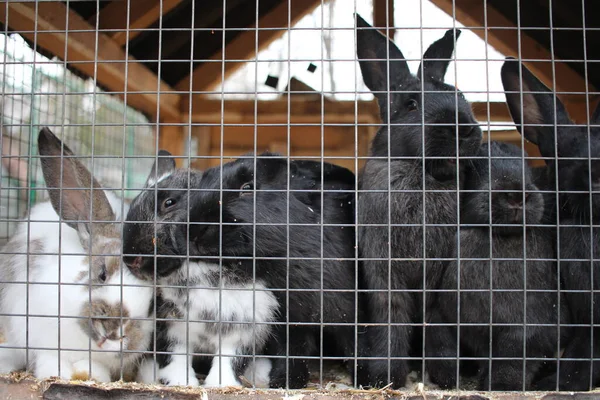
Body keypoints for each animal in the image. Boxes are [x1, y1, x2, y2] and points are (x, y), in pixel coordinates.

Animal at [1, 127, 155, 382]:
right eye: (102, 274)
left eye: (154, 305)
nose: (112, 330)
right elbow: (48, 359)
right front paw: (57, 372)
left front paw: (91, 374)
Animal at [122, 152, 356, 388]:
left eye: (169, 202)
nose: (131, 260)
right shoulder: (172, 329)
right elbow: (175, 359)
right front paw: (182, 383)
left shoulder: (245, 329)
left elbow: (229, 361)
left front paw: (220, 385)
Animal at [356, 13, 482, 388]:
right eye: (411, 104)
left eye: (461, 95)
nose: (463, 128)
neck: (423, 175)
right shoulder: (384, 273)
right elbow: (393, 318)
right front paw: (386, 376)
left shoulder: (436, 280)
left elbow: (435, 323)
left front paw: (445, 376)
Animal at [428, 141, 560, 390]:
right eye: (473, 166)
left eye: (526, 164)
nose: (516, 194)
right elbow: (442, 345)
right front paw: (449, 381)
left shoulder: (526, 323)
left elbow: (514, 354)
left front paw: (502, 386)